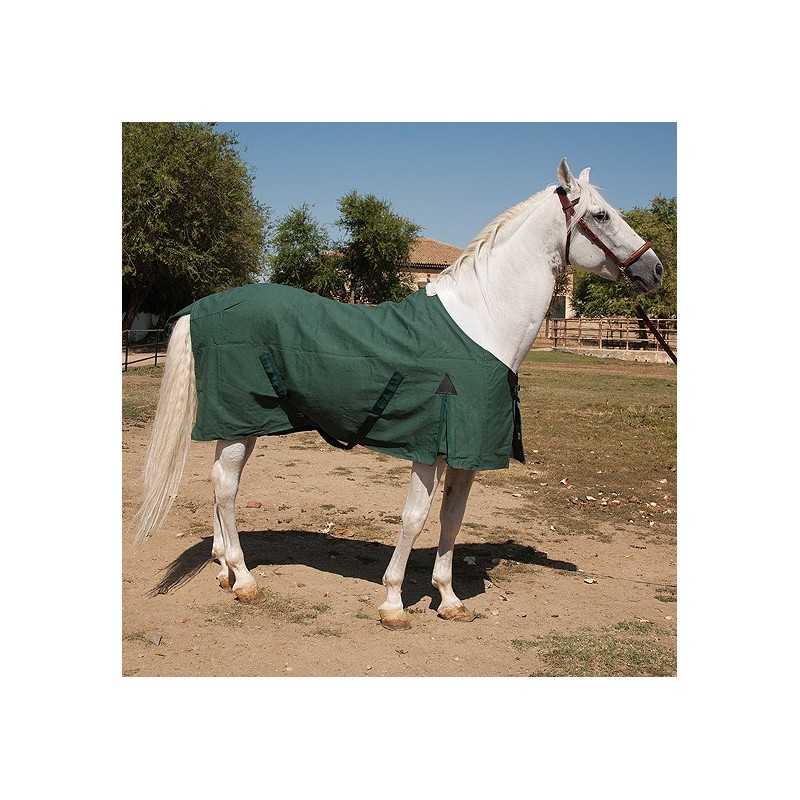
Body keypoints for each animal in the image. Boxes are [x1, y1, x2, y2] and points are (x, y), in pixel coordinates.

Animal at [133, 158, 663, 630]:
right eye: (602, 215)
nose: (655, 270)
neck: (481, 323)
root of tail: (202, 307)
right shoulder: (429, 446)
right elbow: (414, 519)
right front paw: (392, 603)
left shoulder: (466, 454)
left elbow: (452, 519)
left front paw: (449, 600)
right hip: (242, 421)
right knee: (226, 487)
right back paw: (244, 580)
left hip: (241, 424)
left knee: (219, 481)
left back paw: (224, 568)